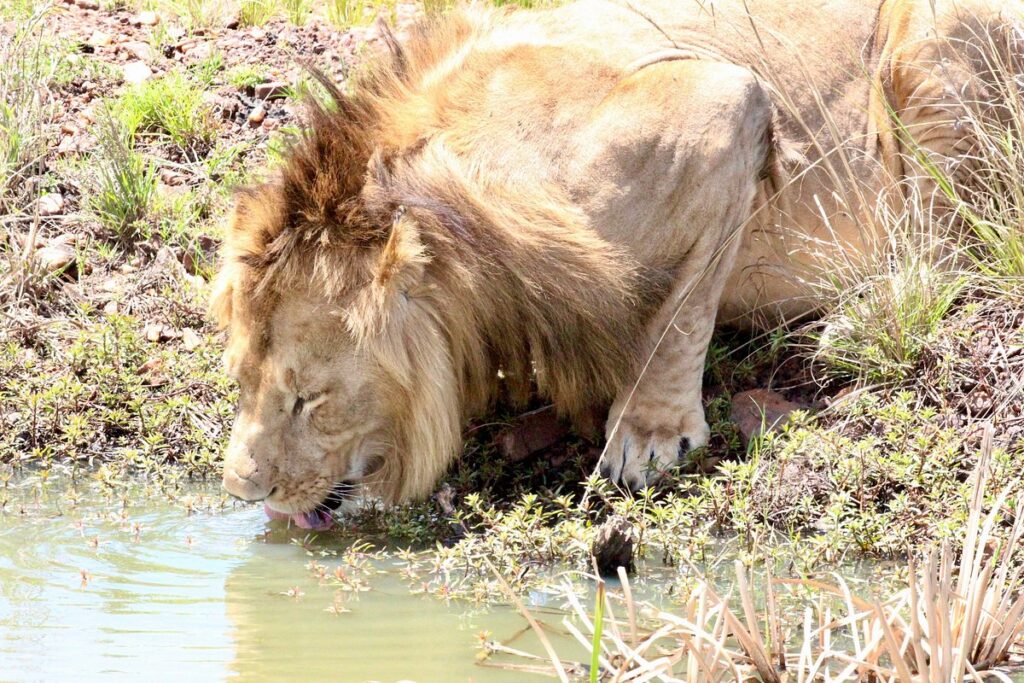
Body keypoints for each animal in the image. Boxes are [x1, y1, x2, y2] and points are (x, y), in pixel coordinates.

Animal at [211, 0, 1019, 528]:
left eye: (308, 399)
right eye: (243, 381)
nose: (241, 493)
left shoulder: (726, 106)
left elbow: (677, 316)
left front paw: (649, 436)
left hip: (934, 48)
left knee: (952, 236)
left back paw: (861, 316)